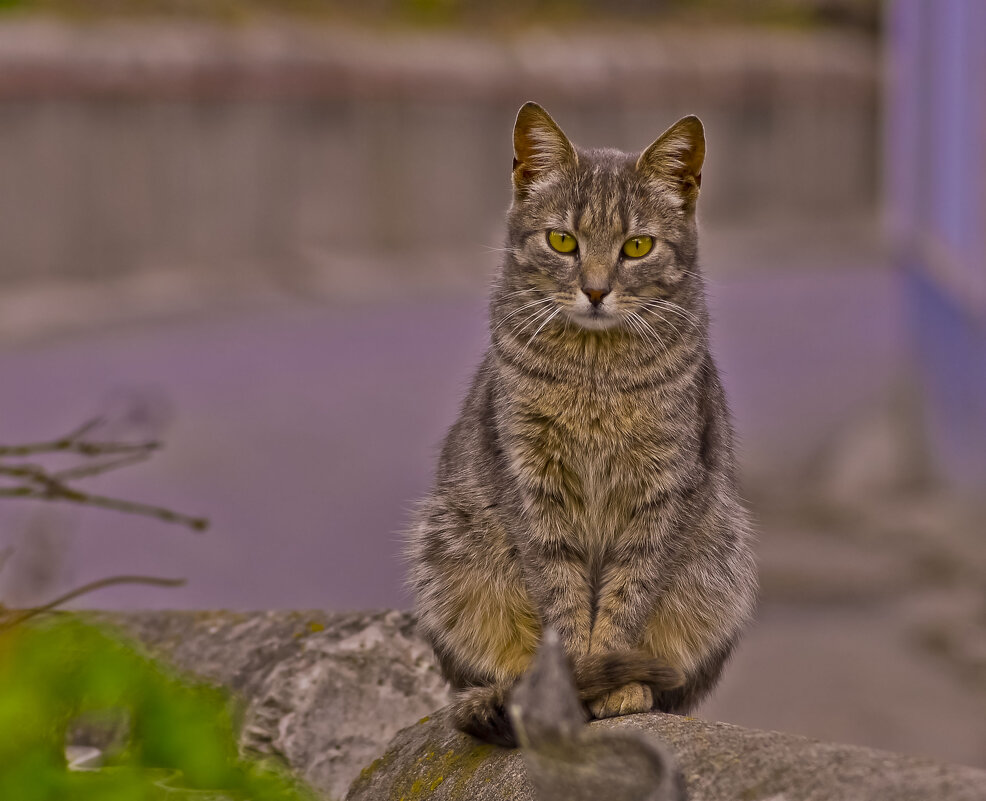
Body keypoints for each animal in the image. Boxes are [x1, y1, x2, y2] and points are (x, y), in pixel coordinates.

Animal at [406, 103, 752, 748]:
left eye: (637, 246)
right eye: (562, 240)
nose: (594, 290)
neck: (593, 376)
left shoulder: (663, 490)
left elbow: (625, 597)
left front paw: (611, 683)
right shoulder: (531, 484)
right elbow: (561, 599)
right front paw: (571, 683)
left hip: (722, 561)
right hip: (448, 550)